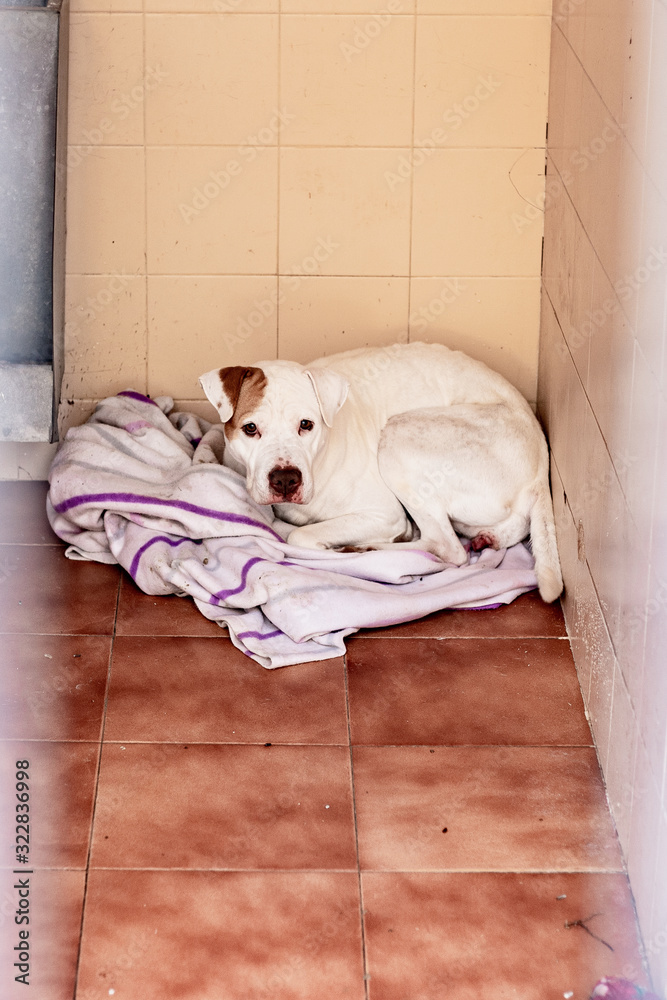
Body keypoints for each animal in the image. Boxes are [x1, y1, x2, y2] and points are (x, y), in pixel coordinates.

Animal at [198, 340, 564, 600]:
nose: (286, 478)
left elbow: (300, 535)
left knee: (446, 547)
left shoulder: (383, 514)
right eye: (250, 428)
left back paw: (365, 550)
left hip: (399, 435)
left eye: (306, 425)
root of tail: (540, 462)